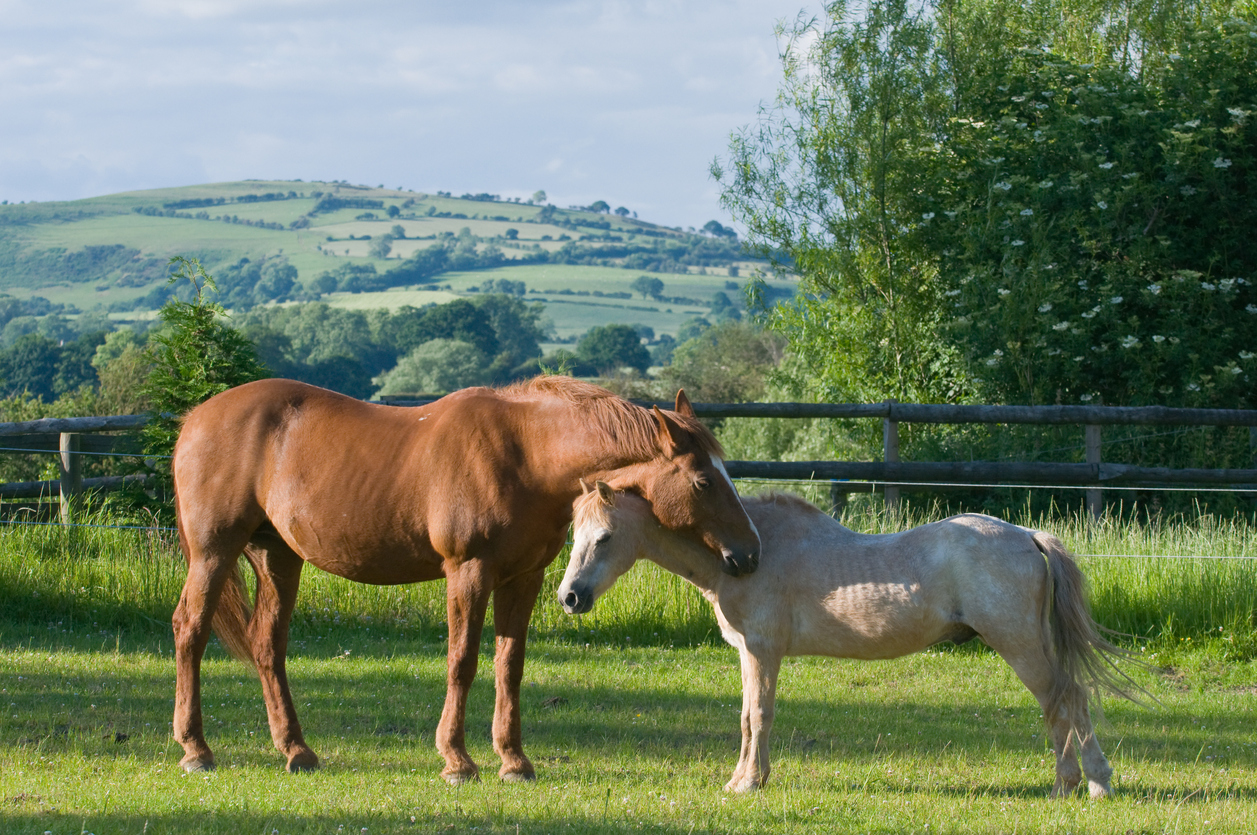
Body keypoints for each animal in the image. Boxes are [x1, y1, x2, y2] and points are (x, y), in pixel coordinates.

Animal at [169, 377, 754, 784]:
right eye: (703, 481)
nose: (749, 554)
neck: (526, 454)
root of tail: (195, 419)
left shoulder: (523, 578)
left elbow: (509, 665)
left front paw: (514, 761)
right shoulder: (468, 572)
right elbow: (463, 660)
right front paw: (457, 760)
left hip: (278, 557)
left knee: (267, 645)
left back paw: (296, 751)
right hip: (214, 552)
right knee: (190, 630)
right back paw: (196, 750)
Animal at [560, 485, 1141, 799]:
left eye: (604, 537)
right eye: (574, 535)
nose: (569, 596)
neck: (746, 555)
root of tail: (1026, 536)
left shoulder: (762, 651)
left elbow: (759, 715)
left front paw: (749, 783)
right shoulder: (749, 654)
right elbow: (747, 716)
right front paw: (744, 778)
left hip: (1019, 645)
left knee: (1067, 700)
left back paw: (1088, 784)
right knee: (1061, 705)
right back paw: (1073, 783)